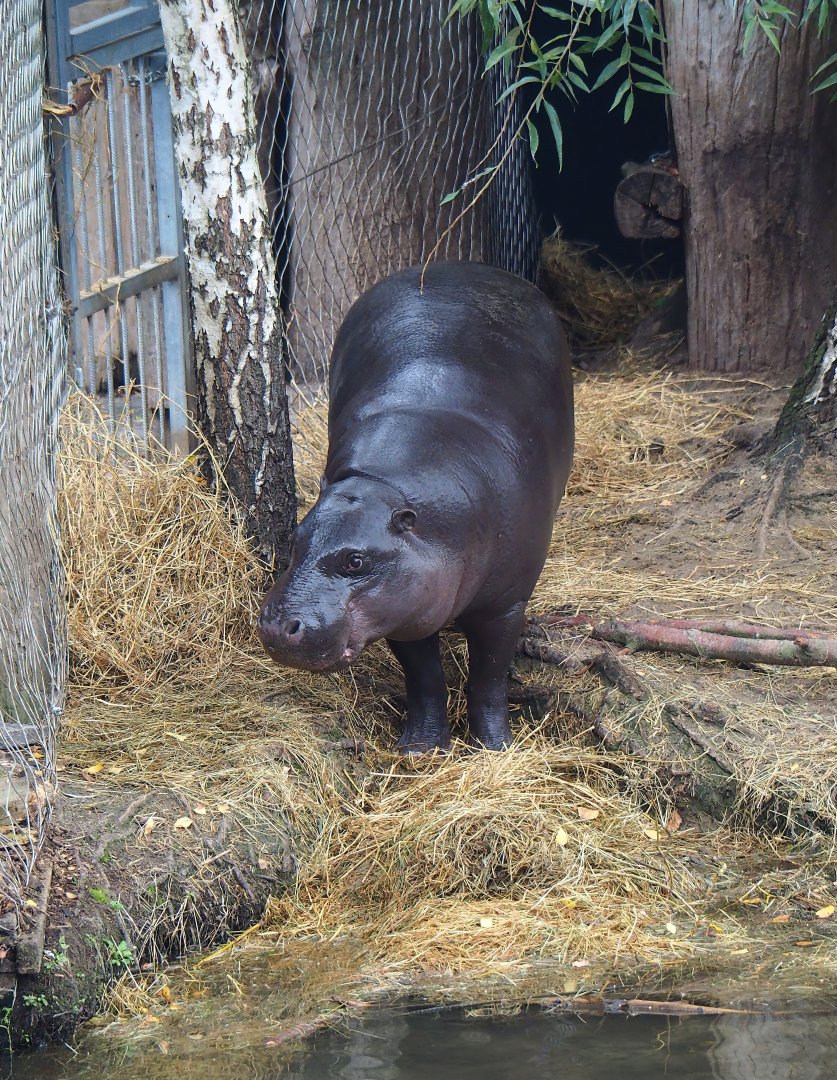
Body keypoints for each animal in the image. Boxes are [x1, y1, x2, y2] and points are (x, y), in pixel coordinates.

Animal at [258, 261, 574, 752]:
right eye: (295, 539)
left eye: (355, 560)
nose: (276, 626)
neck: (385, 489)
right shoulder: (405, 607)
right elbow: (424, 677)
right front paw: (421, 748)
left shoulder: (503, 604)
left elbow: (489, 678)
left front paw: (495, 747)